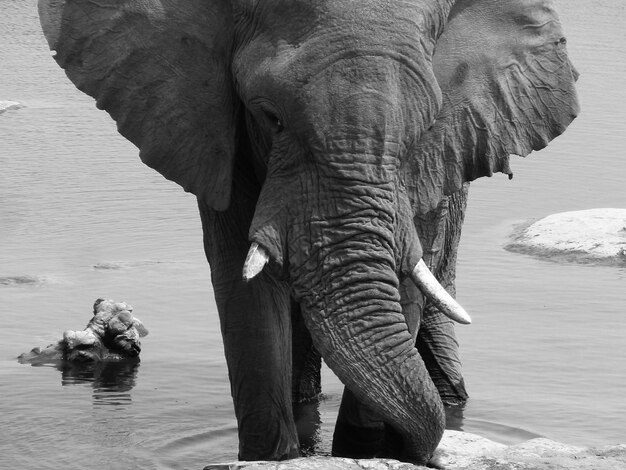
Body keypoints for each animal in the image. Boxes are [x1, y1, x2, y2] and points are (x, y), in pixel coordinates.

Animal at [37, 0, 576, 464]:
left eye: (425, 126)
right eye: (270, 117)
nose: (424, 454)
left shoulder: (436, 157)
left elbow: (406, 282)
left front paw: (363, 452)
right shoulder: (215, 133)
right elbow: (243, 289)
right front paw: (274, 458)